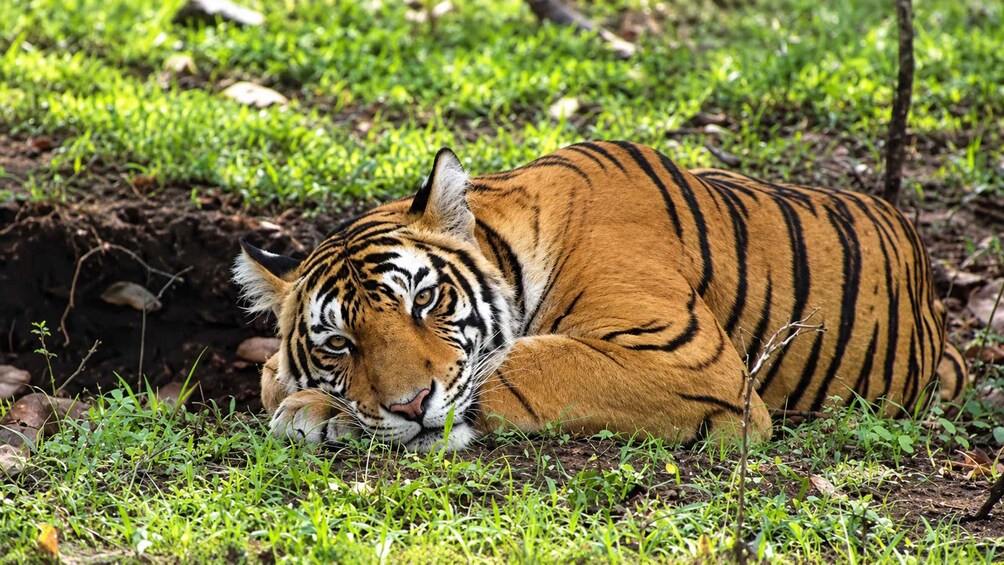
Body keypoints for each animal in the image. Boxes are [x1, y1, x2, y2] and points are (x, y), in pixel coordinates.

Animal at [233, 141, 966, 452]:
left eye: (425, 301)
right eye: (339, 343)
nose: (411, 405)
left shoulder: (690, 359)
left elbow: (523, 363)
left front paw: (305, 406)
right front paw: (310, 400)